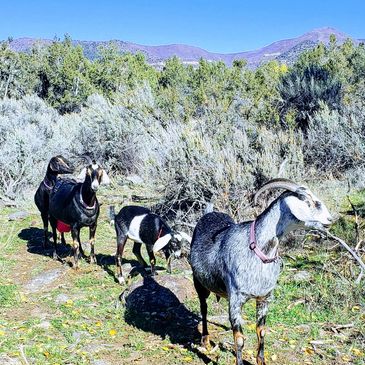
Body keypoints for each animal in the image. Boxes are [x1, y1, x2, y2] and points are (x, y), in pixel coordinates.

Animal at [189, 178, 332, 364]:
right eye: (308, 201)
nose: (330, 219)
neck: (257, 250)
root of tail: (208, 213)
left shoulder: (264, 297)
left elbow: (261, 331)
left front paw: (261, 360)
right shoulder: (235, 299)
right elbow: (239, 339)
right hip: (199, 283)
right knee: (204, 308)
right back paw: (205, 339)